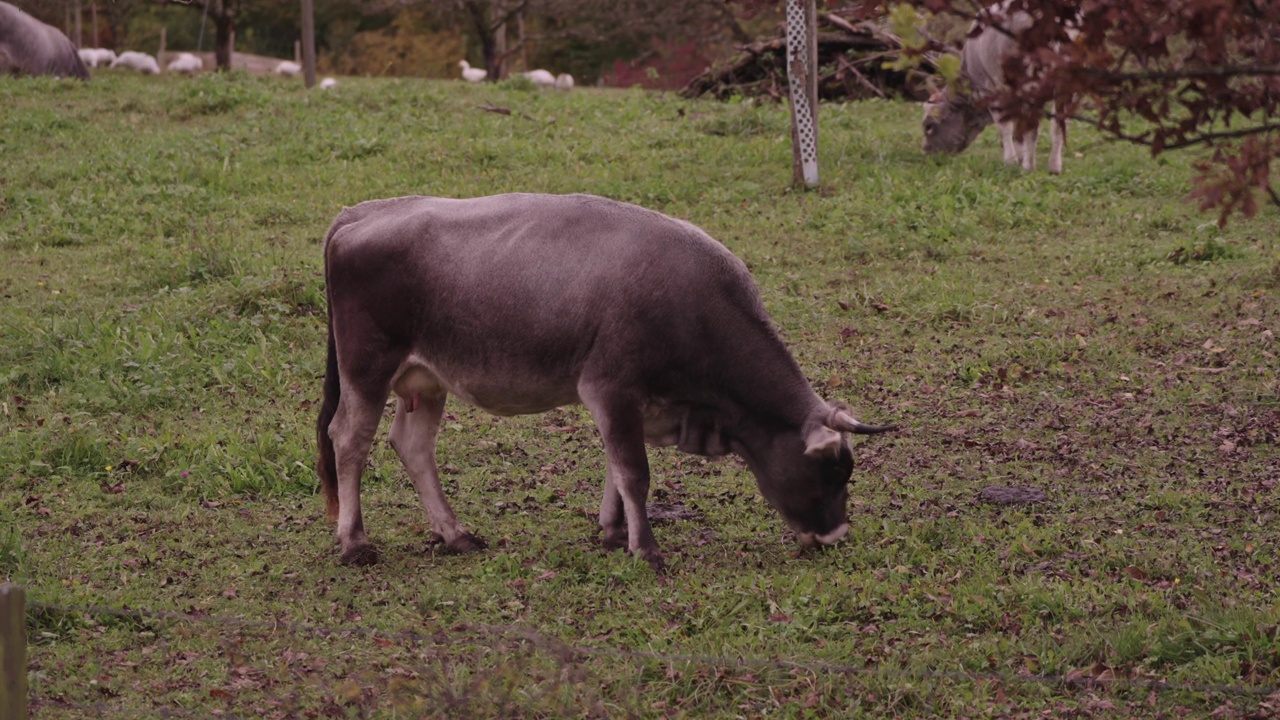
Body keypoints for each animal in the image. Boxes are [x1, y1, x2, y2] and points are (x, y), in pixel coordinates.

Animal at [318, 193, 896, 568]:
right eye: (832, 471)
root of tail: (363, 211)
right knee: (349, 439)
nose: (838, 536)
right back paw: (355, 543)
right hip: (366, 367)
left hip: (425, 379)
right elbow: (634, 472)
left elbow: (617, 470)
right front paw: (647, 549)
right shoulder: (611, 388)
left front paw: (615, 533)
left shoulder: (637, 404)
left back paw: (455, 533)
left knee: (412, 445)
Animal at [921, 0, 1070, 174]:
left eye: (928, 126)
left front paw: (1011, 161)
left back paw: (1029, 166)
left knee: (1032, 127)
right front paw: (1020, 157)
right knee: (1058, 124)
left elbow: (1005, 128)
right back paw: (1054, 167)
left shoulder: (992, 91)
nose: (928, 154)